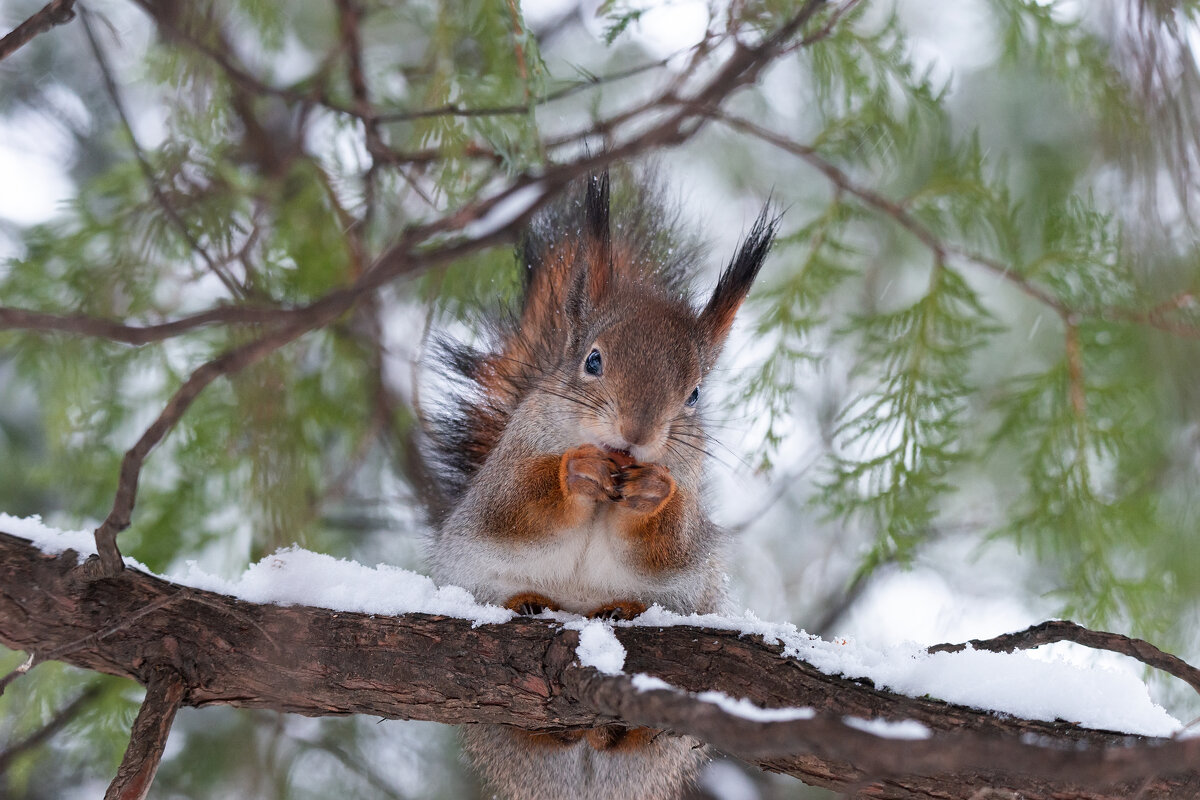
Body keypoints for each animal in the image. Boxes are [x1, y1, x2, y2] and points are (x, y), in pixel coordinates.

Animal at [427, 170, 772, 800]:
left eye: (694, 394)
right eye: (592, 361)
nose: (635, 435)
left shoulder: (689, 501)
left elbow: (674, 542)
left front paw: (652, 493)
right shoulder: (504, 474)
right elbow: (515, 503)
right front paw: (575, 472)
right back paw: (530, 608)